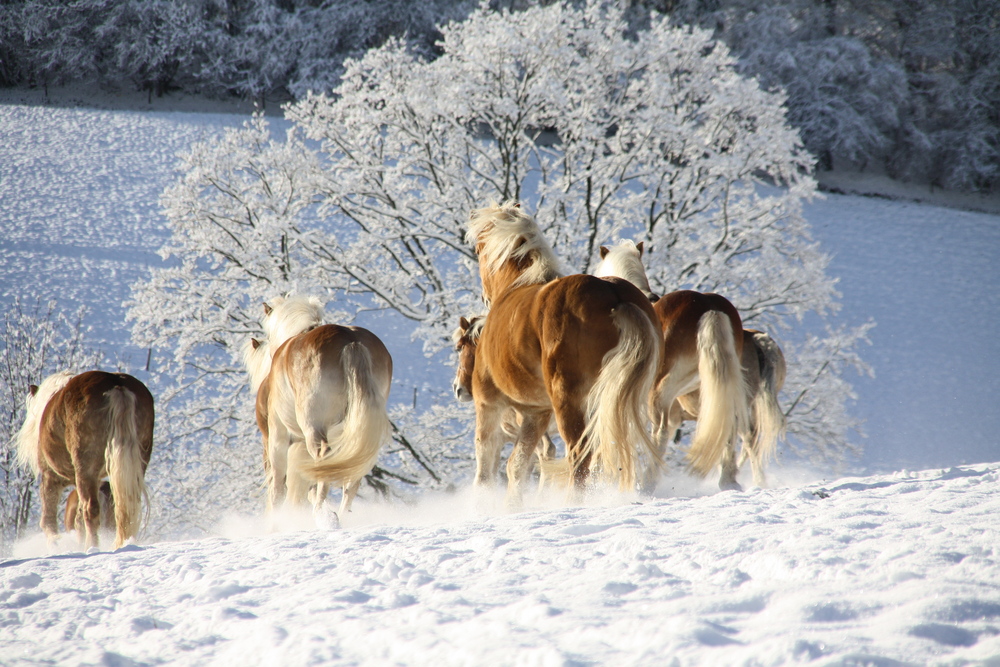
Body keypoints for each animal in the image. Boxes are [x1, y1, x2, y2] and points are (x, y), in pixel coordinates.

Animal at [14, 370, 153, 548]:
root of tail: (116, 384)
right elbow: (78, 518)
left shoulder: (50, 476)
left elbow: (48, 519)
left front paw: (56, 543)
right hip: (136, 464)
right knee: (128, 506)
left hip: (85, 468)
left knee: (91, 509)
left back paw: (92, 547)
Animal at [244, 294, 392, 520]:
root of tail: (351, 341)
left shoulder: (278, 438)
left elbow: (278, 488)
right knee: (352, 475)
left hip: (312, 426)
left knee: (322, 460)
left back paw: (324, 515)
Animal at [466, 201, 664, 504]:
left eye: (477, 249)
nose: (485, 298)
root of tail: (615, 295)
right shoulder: (535, 412)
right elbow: (517, 466)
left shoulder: (489, 403)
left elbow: (485, 473)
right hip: (618, 399)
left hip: (569, 400)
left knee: (580, 456)